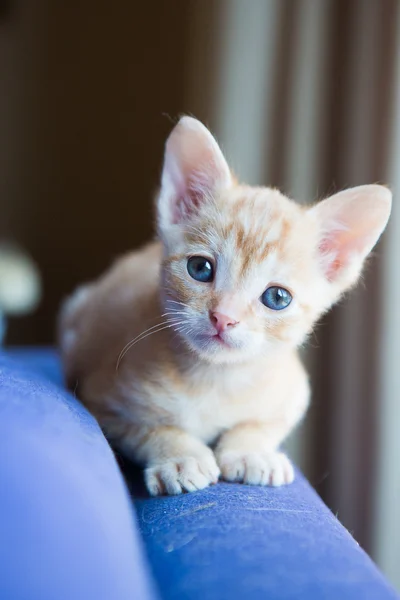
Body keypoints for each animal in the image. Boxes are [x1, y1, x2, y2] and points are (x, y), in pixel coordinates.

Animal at [58, 117, 390, 496]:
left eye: (277, 298)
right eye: (200, 268)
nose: (223, 318)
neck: (215, 380)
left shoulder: (293, 395)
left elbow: (260, 425)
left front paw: (252, 452)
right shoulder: (99, 398)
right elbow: (146, 429)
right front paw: (181, 456)